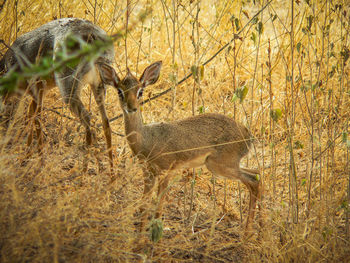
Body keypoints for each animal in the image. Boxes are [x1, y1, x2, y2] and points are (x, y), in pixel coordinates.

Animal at [0, 18, 117, 171]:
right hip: (98, 84)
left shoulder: (37, 88)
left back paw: (84, 170)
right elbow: (31, 115)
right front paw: (26, 157)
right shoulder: (39, 90)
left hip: (68, 88)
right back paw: (111, 173)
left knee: (87, 119)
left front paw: (40, 162)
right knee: (105, 122)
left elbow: (36, 117)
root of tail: (93, 36)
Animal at [97, 60, 262, 234]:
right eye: (120, 91)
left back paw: (248, 233)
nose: (132, 108)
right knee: (257, 174)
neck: (147, 139)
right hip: (225, 165)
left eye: (140, 91)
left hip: (219, 166)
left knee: (254, 181)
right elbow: (144, 206)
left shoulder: (166, 172)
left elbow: (158, 209)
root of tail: (248, 135)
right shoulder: (148, 173)